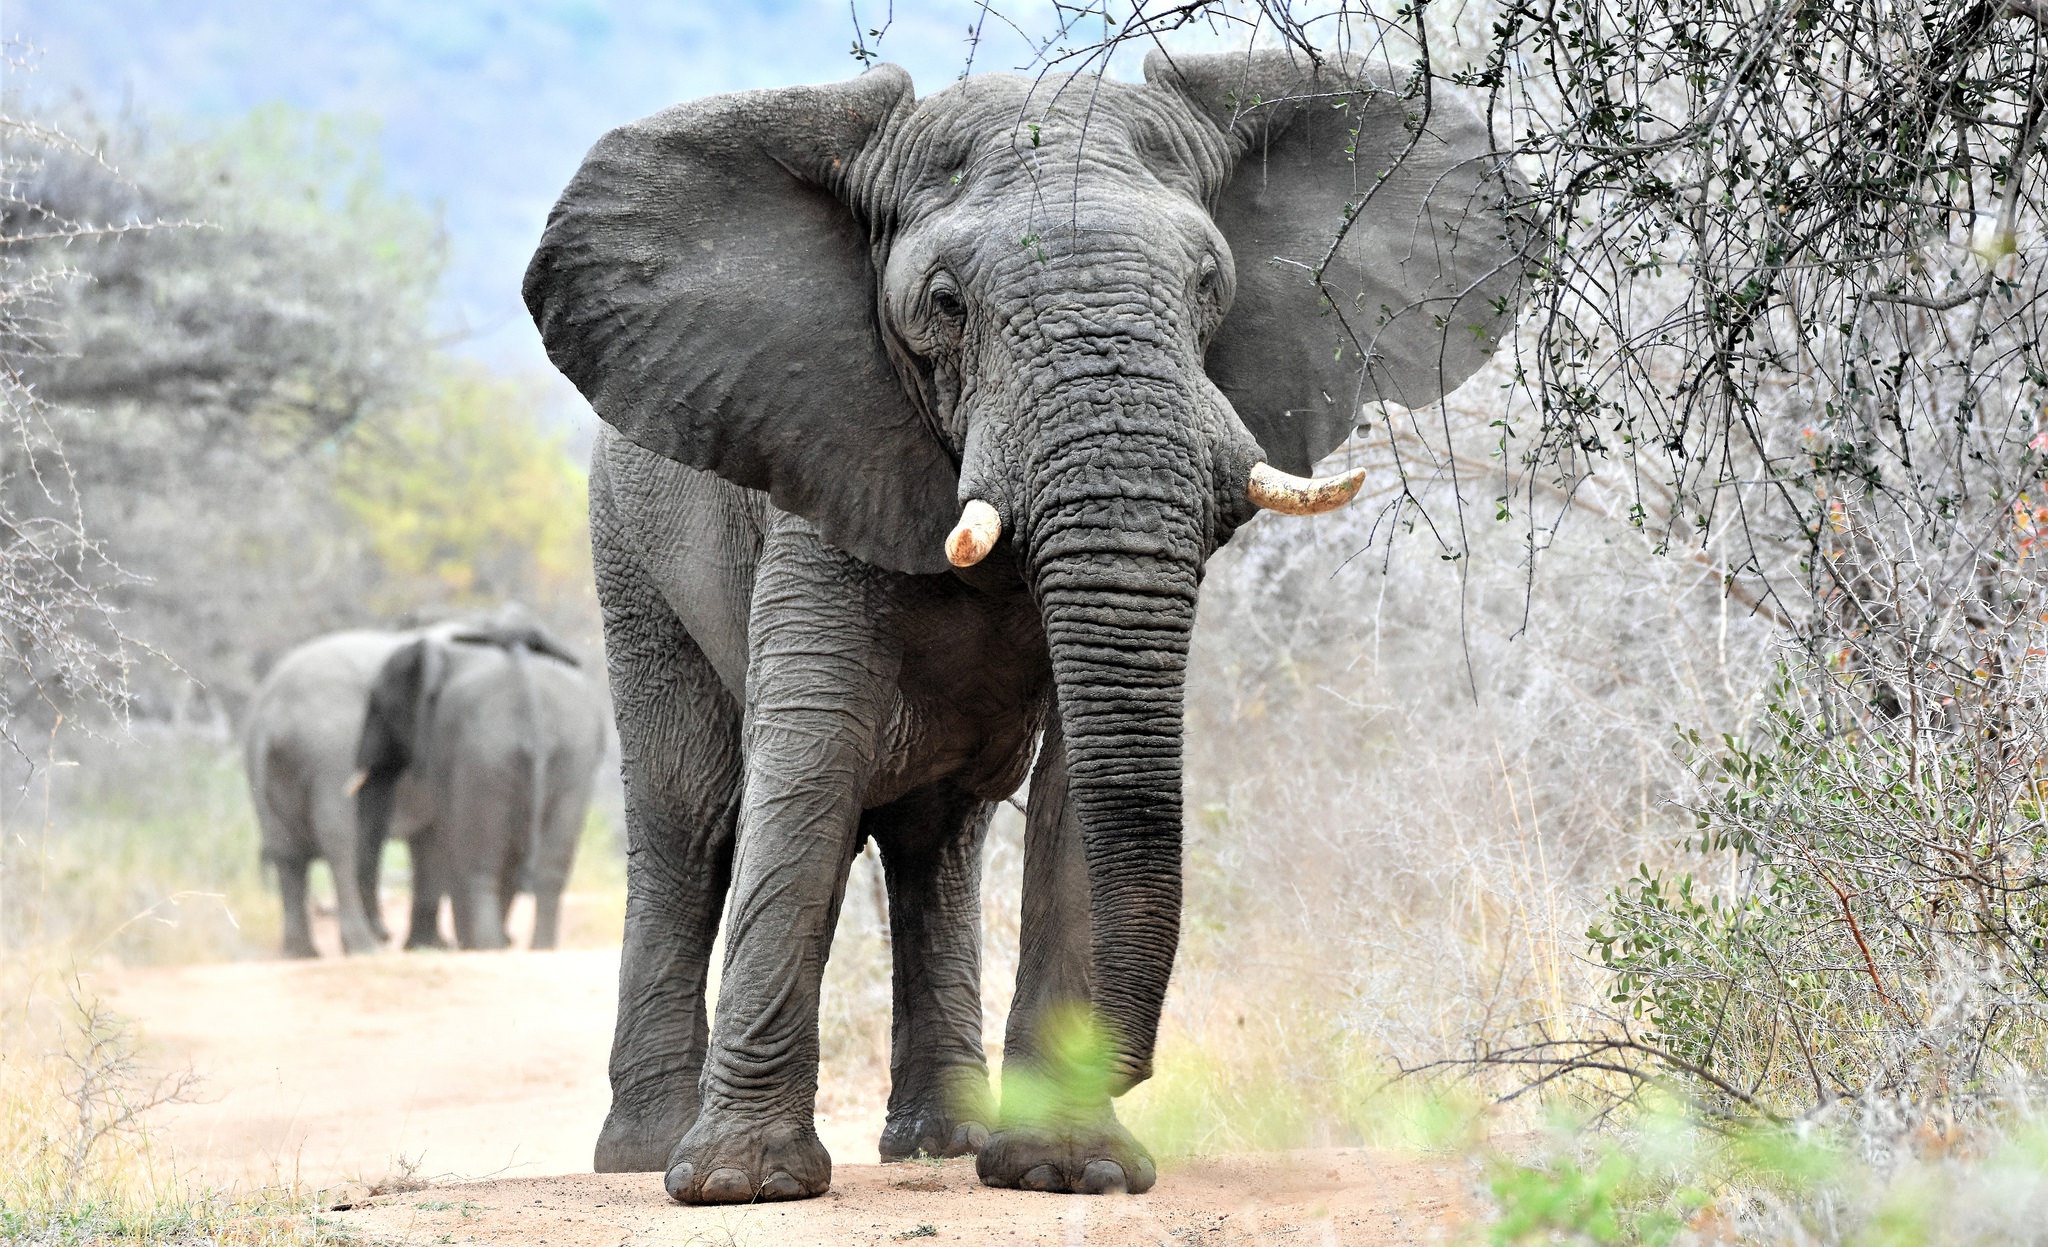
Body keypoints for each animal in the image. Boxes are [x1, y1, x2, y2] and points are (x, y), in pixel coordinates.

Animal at [352, 622, 609, 952]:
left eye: (378, 706)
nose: (384, 935)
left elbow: (449, 837)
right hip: (571, 755)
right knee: (547, 864)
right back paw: (533, 947)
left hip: (486, 754)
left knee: (479, 857)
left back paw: (487, 946)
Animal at [524, 47, 1525, 1202]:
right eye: (945, 302)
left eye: (1209, 285)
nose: (1132, 1068)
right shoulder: (816, 456)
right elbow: (812, 755)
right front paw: (744, 1185)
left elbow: (1077, 783)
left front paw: (1069, 1168)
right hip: (625, 547)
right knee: (691, 821)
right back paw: (644, 1154)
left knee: (940, 842)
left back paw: (941, 1143)